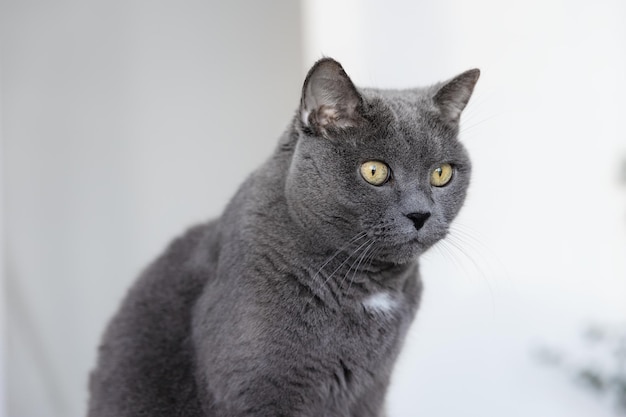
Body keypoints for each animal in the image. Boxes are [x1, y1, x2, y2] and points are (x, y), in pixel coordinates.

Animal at [86, 58, 478, 416]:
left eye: (441, 173)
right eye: (374, 171)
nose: (420, 214)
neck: (370, 285)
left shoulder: (370, 392)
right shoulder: (261, 392)